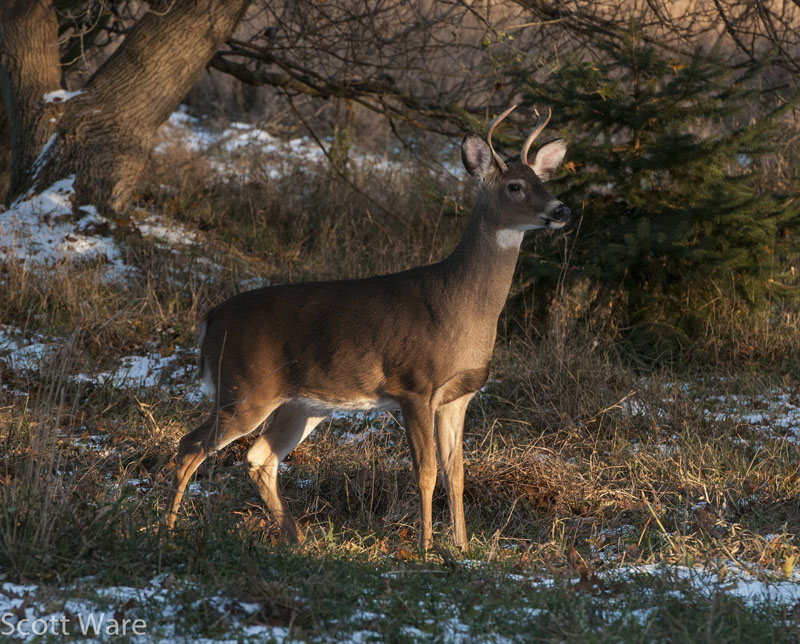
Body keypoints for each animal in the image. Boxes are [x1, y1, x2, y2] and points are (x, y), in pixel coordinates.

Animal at [165, 105, 570, 550]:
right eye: (515, 186)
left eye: (543, 181)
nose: (561, 210)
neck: (459, 304)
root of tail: (210, 320)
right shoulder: (413, 386)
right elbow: (426, 470)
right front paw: (427, 549)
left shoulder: (458, 397)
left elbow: (457, 473)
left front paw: (462, 548)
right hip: (243, 388)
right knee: (190, 445)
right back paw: (164, 528)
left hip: (300, 405)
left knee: (258, 458)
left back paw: (298, 539)